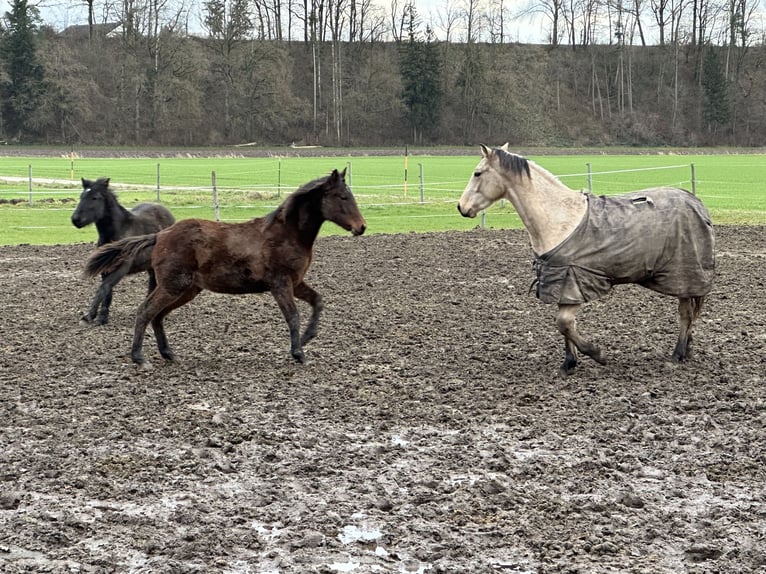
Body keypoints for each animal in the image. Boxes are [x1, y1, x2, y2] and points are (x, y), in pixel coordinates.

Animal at [71, 178, 175, 326]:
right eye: (81, 196)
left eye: (94, 197)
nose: (75, 219)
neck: (118, 231)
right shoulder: (106, 267)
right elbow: (107, 291)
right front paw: (102, 317)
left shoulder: (122, 267)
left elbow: (104, 287)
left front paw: (89, 316)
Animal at [85, 169, 368, 372]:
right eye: (343, 197)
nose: (361, 227)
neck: (287, 234)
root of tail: (160, 235)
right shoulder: (280, 284)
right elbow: (293, 316)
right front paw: (299, 353)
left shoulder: (296, 282)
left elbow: (318, 301)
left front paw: (308, 338)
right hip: (173, 285)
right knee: (146, 311)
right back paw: (139, 358)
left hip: (187, 289)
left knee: (158, 315)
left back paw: (168, 354)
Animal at [460, 144, 716, 378]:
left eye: (478, 173)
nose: (462, 207)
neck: (558, 219)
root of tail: (696, 203)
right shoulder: (563, 284)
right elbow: (566, 327)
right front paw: (568, 363)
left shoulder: (575, 281)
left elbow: (563, 323)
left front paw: (597, 354)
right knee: (688, 315)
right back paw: (686, 351)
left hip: (685, 275)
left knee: (685, 314)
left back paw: (677, 355)